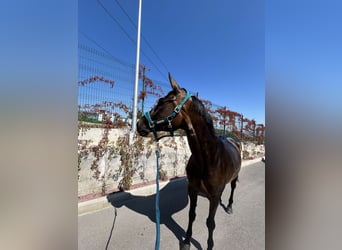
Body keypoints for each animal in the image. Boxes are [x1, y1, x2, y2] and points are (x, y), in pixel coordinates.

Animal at [136, 73, 240, 249]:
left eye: (162, 101)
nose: (139, 124)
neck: (208, 158)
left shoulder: (213, 195)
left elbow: (210, 222)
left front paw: (209, 245)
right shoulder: (192, 189)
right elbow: (192, 214)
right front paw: (186, 240)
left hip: (235, 177)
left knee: (232, 188)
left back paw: (230, 206)